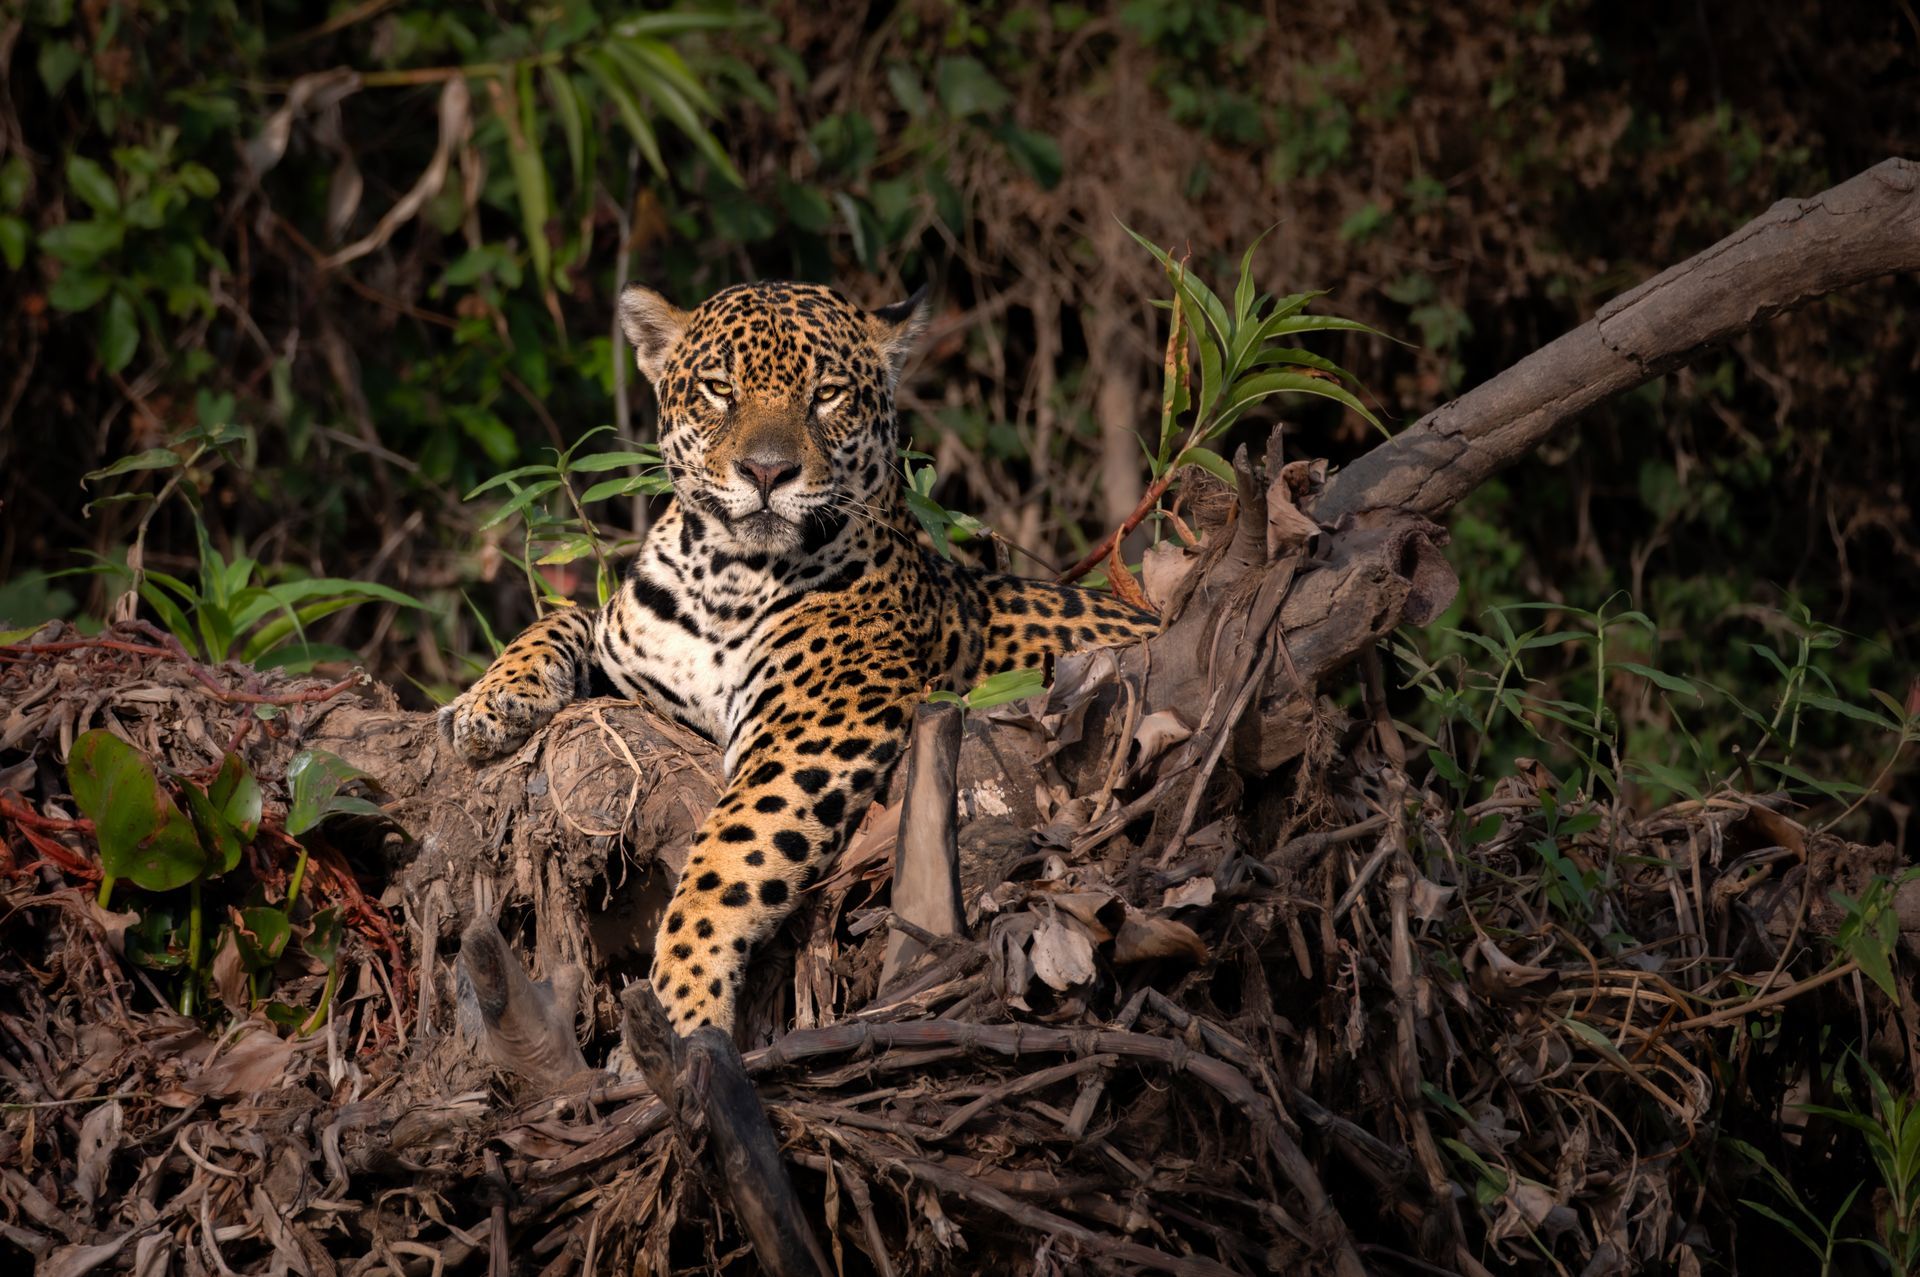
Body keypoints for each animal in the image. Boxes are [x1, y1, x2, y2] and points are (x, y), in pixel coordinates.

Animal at [440, 279, 1158, 1033]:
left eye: (828, 394)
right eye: (720, 389)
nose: (766, 471)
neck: (724, 576)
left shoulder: (819, 724)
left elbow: (731, 850)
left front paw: (685, 998)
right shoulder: (637, 668)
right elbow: (562, 616)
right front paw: (490, 703)